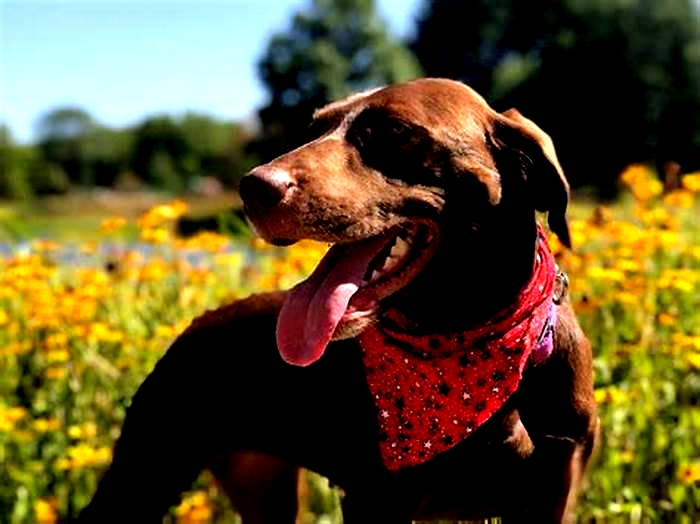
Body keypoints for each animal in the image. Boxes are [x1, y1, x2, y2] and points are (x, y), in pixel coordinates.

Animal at [79, 79, 600, 524]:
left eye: (393, 131)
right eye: (313, 131)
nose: (252, 187)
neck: (468, 335)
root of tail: (198, 322)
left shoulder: (552, 490)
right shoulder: (375, 497)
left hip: (261, 483)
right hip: (146, 468)